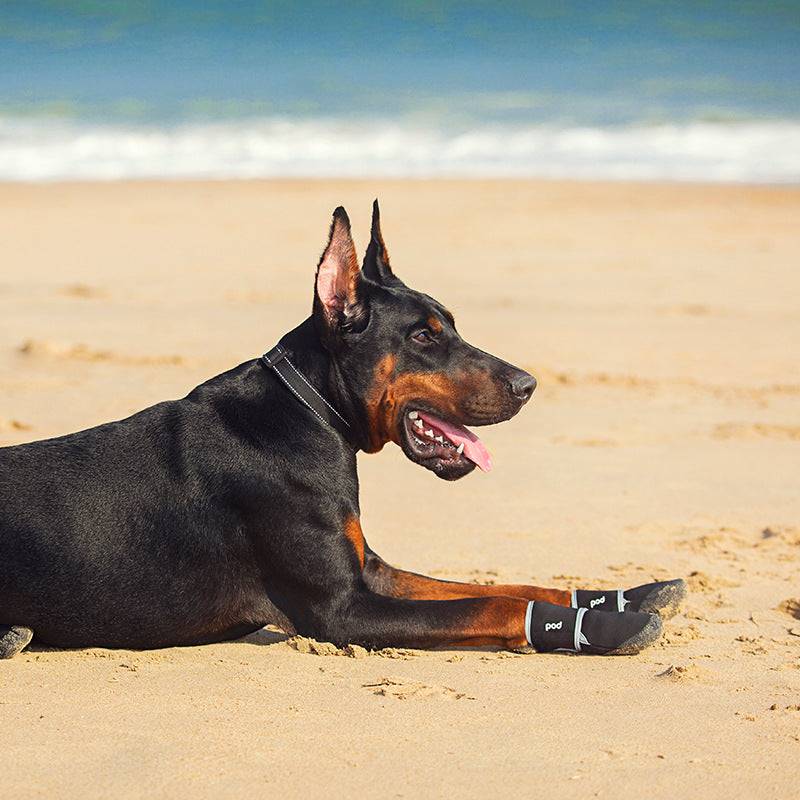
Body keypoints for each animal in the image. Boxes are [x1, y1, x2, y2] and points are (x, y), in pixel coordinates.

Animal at [1, 203, 688, 660]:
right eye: (423, 337)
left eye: (450, 324)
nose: (528, 384)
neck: (311, 414)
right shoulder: (342, 609)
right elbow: (497, 602)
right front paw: (607, 628)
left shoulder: (370, 570)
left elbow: (504, 585)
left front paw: (623, 596)